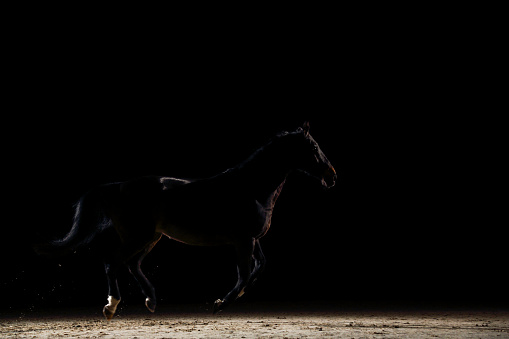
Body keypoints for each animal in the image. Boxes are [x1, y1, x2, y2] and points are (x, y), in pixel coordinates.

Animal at [36, 123, 338, 320]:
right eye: (313, 146)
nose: (332, 176)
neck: (250, 188)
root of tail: (118, 186)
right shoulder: (242, 240)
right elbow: (243, 274)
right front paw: (219, 303)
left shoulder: (253, 239)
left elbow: (259, 267)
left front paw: (232, 298)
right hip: (138, 236)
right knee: (113, 261)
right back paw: (111, 306)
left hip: (151, 238)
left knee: (132, 264)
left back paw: (151, 301)